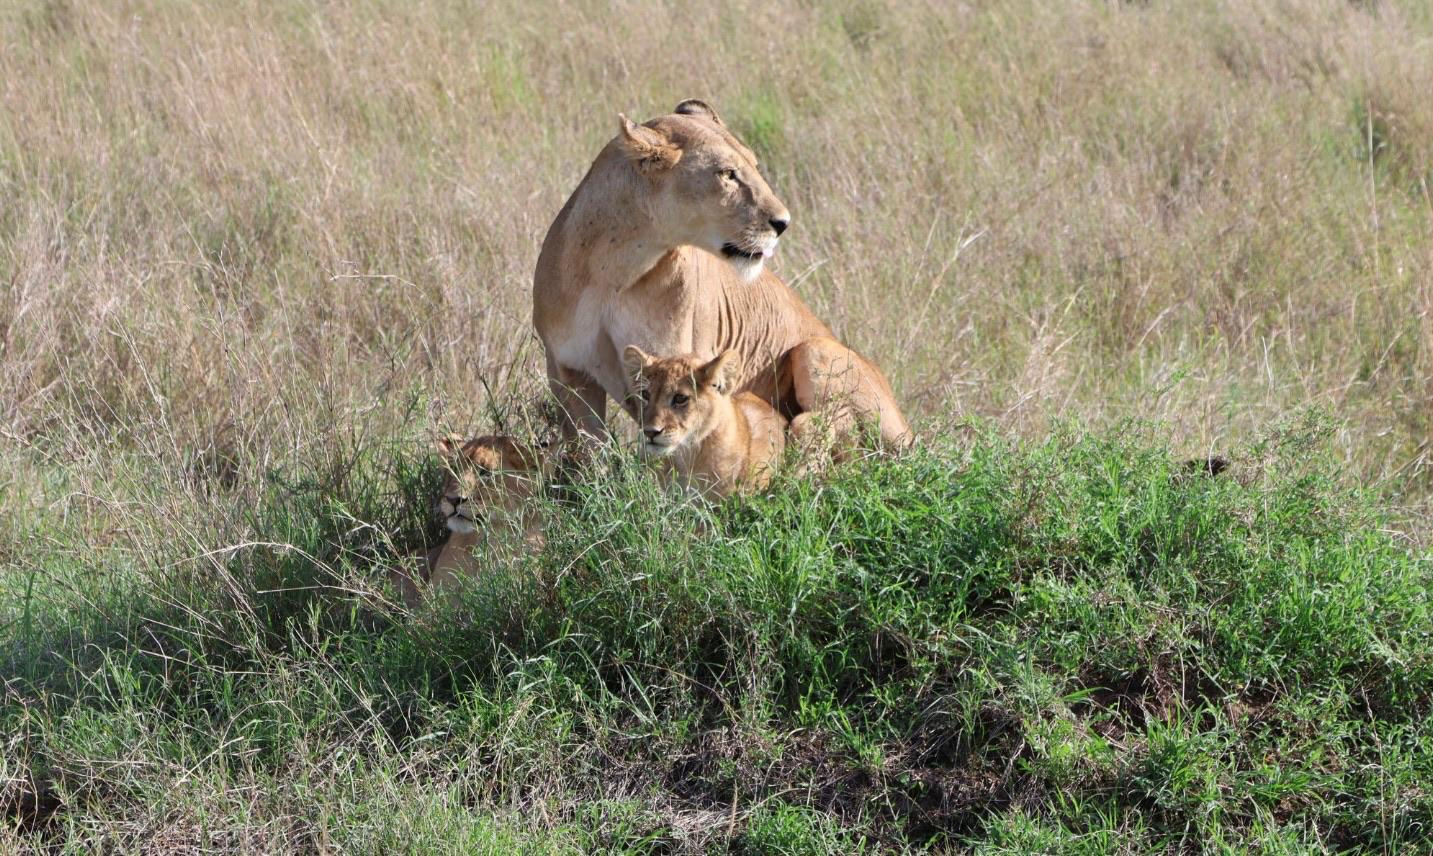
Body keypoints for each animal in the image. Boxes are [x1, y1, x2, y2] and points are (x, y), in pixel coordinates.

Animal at [533, 98, 912, 455]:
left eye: (754, 166)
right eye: (728, 174)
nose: (783, 223)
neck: (616, 271)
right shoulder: (568, 372)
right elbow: (587, 451)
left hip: (816, 350)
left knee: (841, 430)